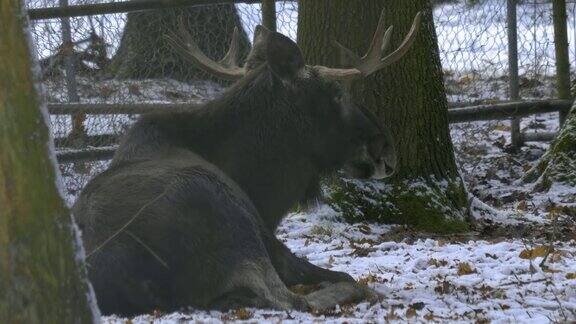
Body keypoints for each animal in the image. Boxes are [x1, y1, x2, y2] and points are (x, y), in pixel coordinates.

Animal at [74, 10, 420, 316]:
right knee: (295, 299)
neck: (259, 187)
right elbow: (343, 276)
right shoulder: (266, 234)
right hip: (225, 213)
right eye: (337, 93)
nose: (387, 151)